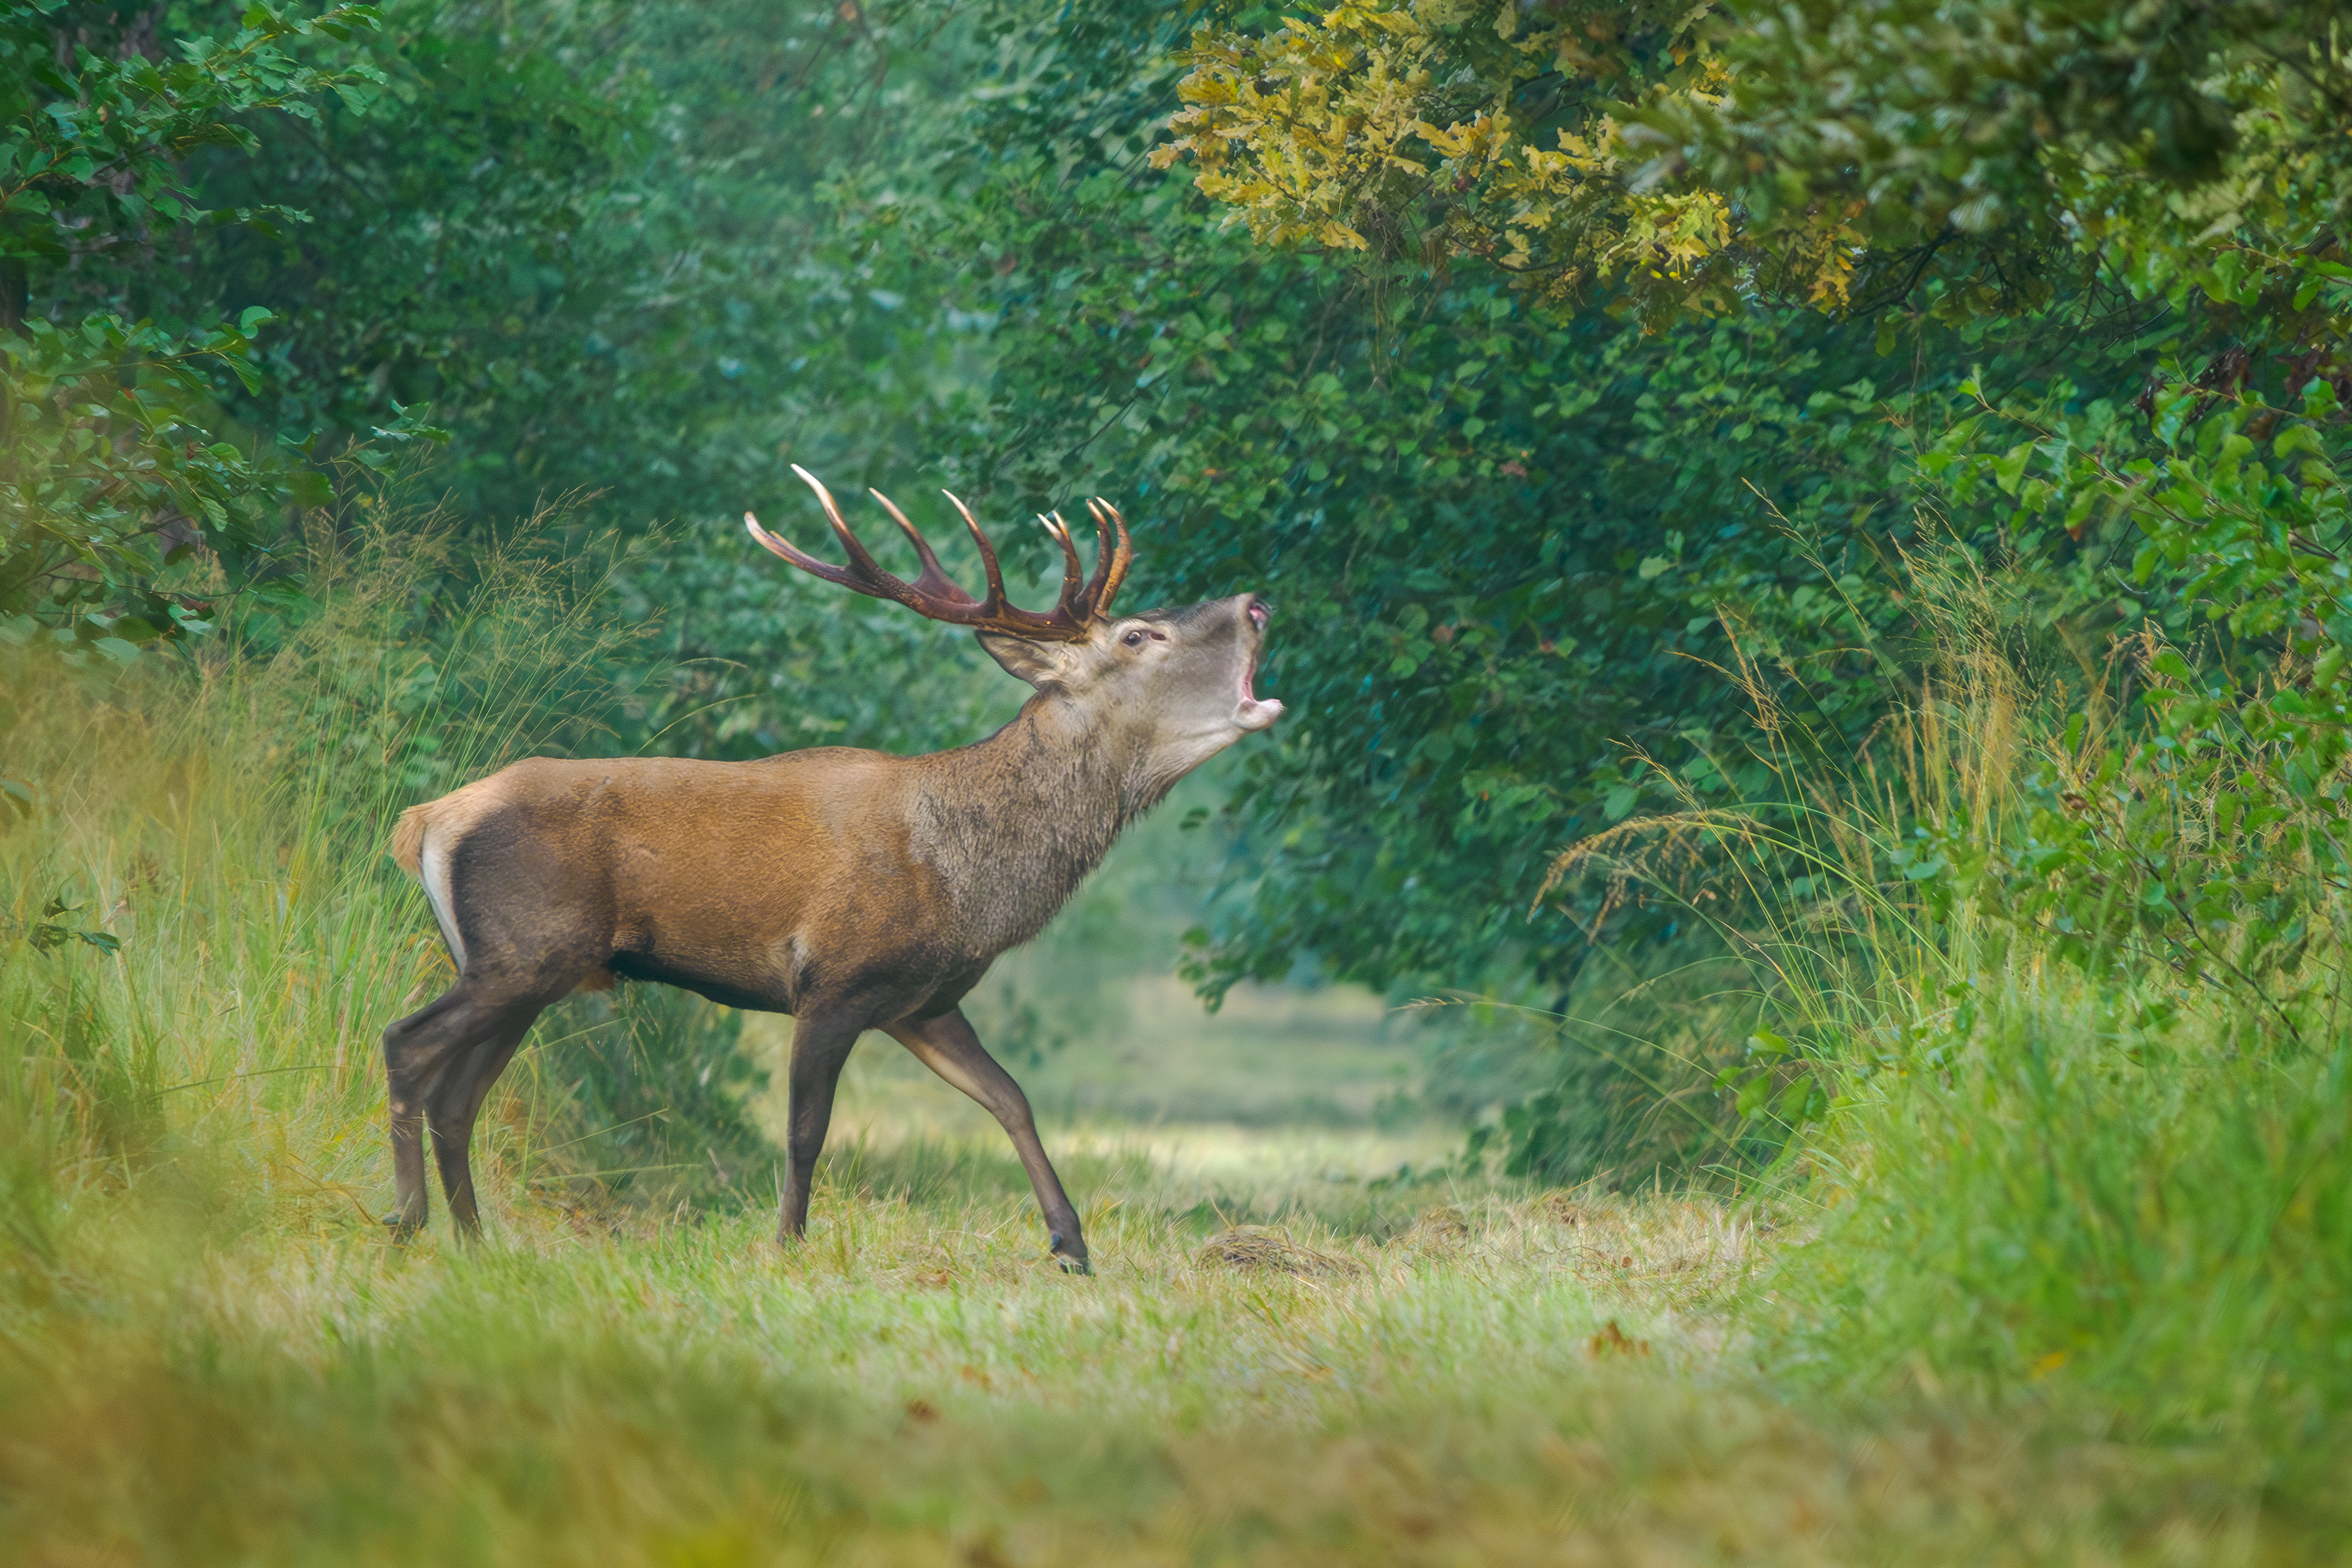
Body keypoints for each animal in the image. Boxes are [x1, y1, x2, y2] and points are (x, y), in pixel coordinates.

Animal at [381, 465, 1289, 1279]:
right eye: (1140, 634)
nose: (1255, 602)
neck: (967, 876)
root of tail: (424, 820)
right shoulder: (832, 981)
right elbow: (804, 1131)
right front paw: (787, 1248)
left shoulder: (924, 1002)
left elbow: (1011, 1098)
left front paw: (1071, 1247)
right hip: (522, 950)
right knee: (405, 1043)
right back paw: (408, 1221)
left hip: (531, 970)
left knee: (458, 1096)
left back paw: (474, 1242)